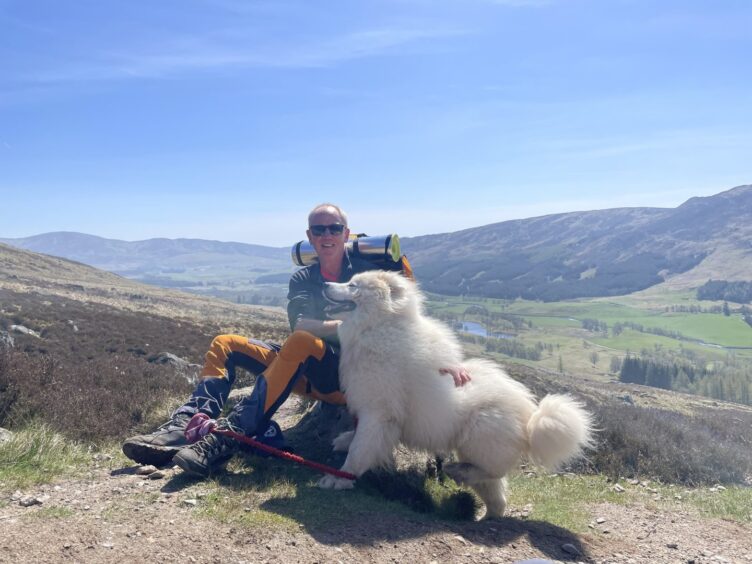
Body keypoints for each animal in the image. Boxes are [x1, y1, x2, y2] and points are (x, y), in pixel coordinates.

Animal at [318, 270, 592, 516]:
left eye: (353, 285)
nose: (324, 283)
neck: (378, 327)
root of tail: (532, 419)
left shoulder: (379, 412)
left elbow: (360, 450)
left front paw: (339, 479)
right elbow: (358, 437)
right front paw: (344, 440)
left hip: (478, 433)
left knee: (494, 472)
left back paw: (458, 470)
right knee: (498, 499)